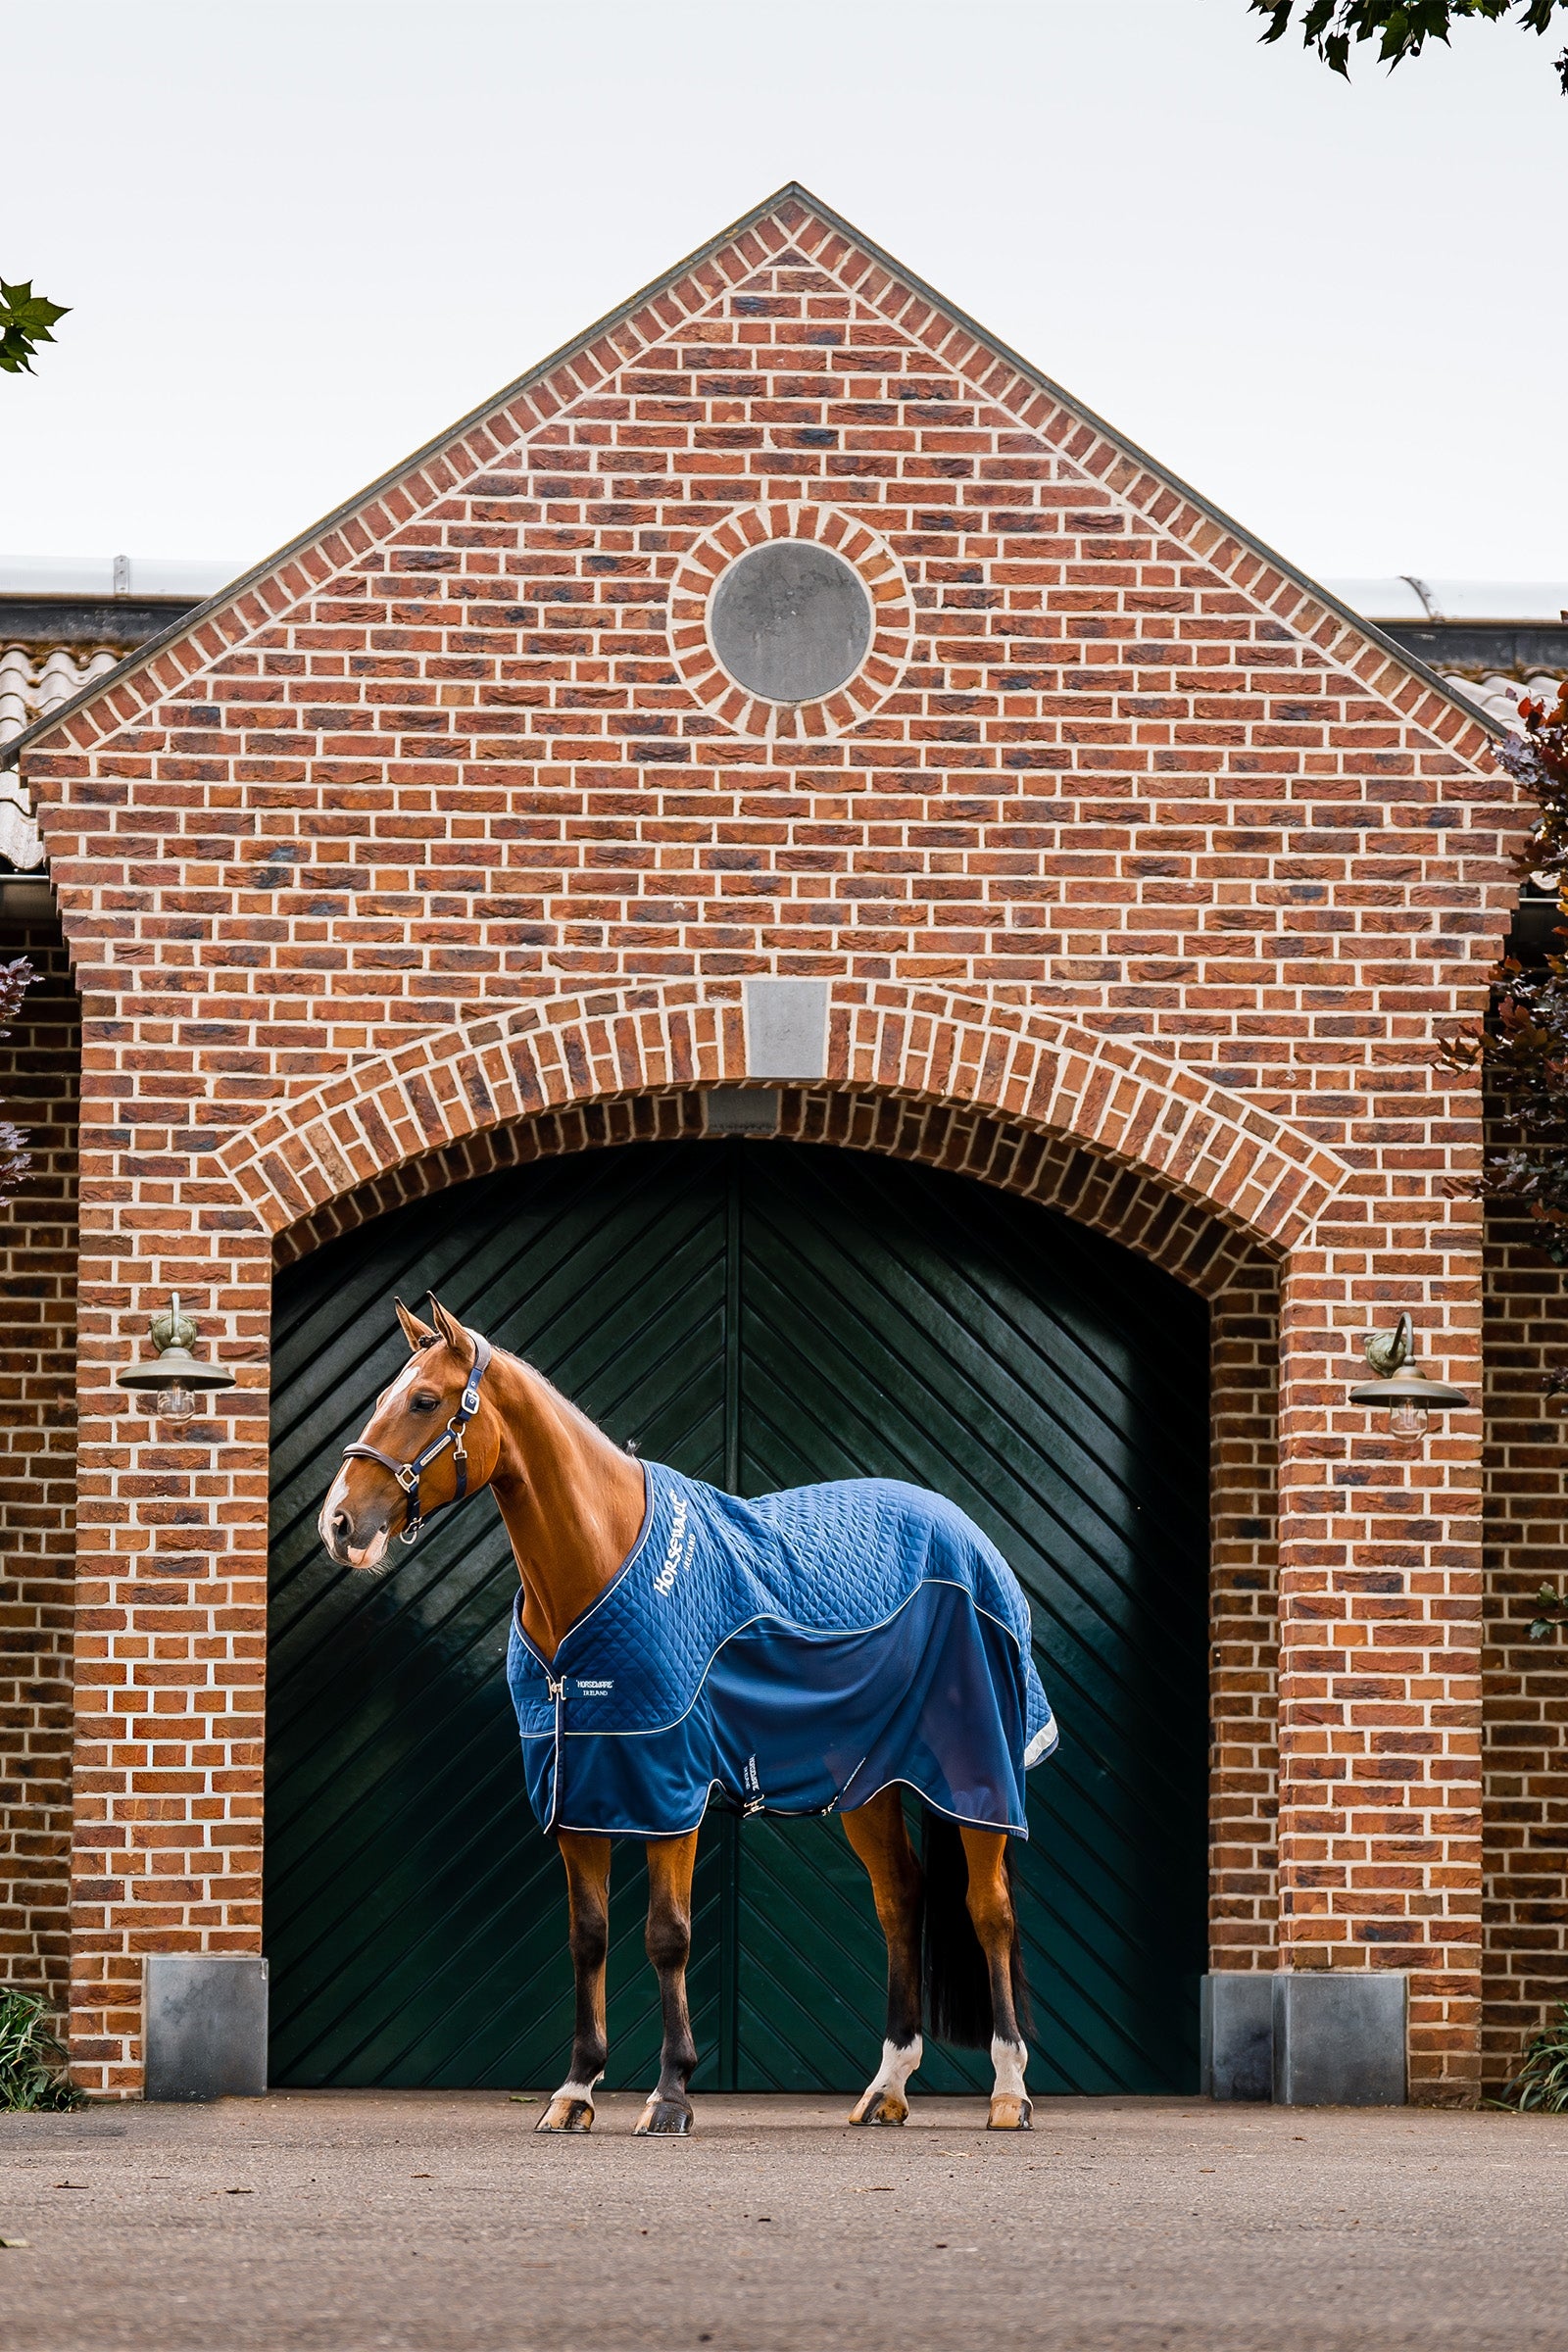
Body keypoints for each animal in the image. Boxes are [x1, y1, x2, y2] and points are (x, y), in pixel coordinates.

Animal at [319, 1293, 1053, 2136]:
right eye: (381, 1398)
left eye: (424, 1401)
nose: (339, 1524)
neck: (598, 1562)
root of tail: (966, 1533)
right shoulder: (580, 1790)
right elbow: (589, 1939)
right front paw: (575, 2091)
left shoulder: (668, 1790)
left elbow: (667, 1937)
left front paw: (670, 2094)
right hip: (873, 1783)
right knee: (901, 1898)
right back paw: (887, 2087)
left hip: (977, 1774)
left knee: (989, 1910)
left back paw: (1009, 2091)